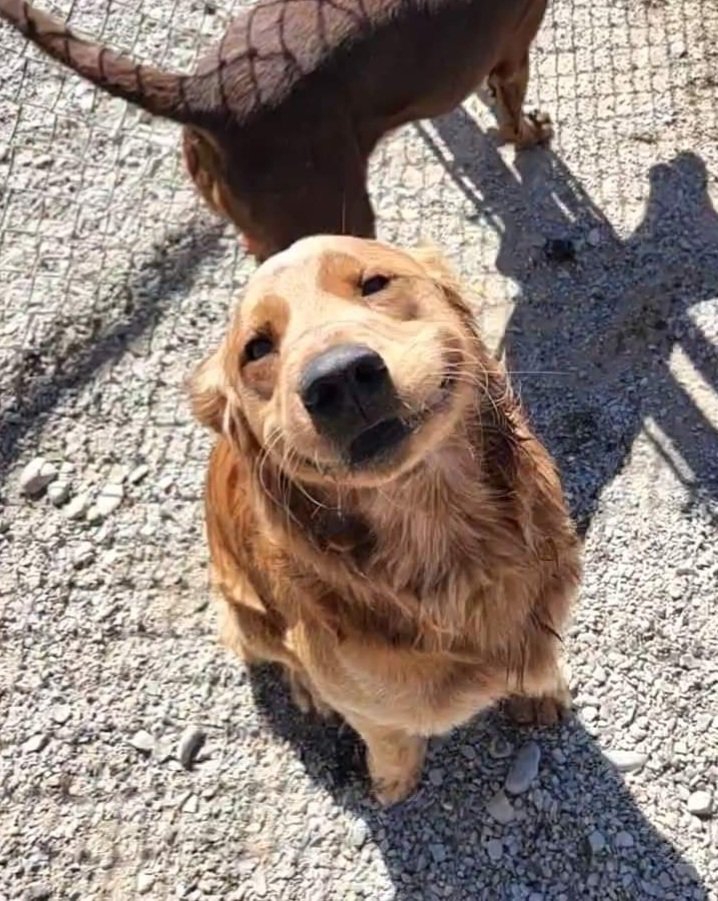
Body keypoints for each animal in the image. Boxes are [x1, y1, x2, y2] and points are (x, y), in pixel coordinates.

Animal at [190, 236, 580, 804]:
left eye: (374, 283)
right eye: (256, 349)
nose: (338, 377)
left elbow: (541, 660)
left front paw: (540, 692)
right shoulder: (364, 699)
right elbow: (389, 739)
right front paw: (393, 782)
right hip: (244, 613)